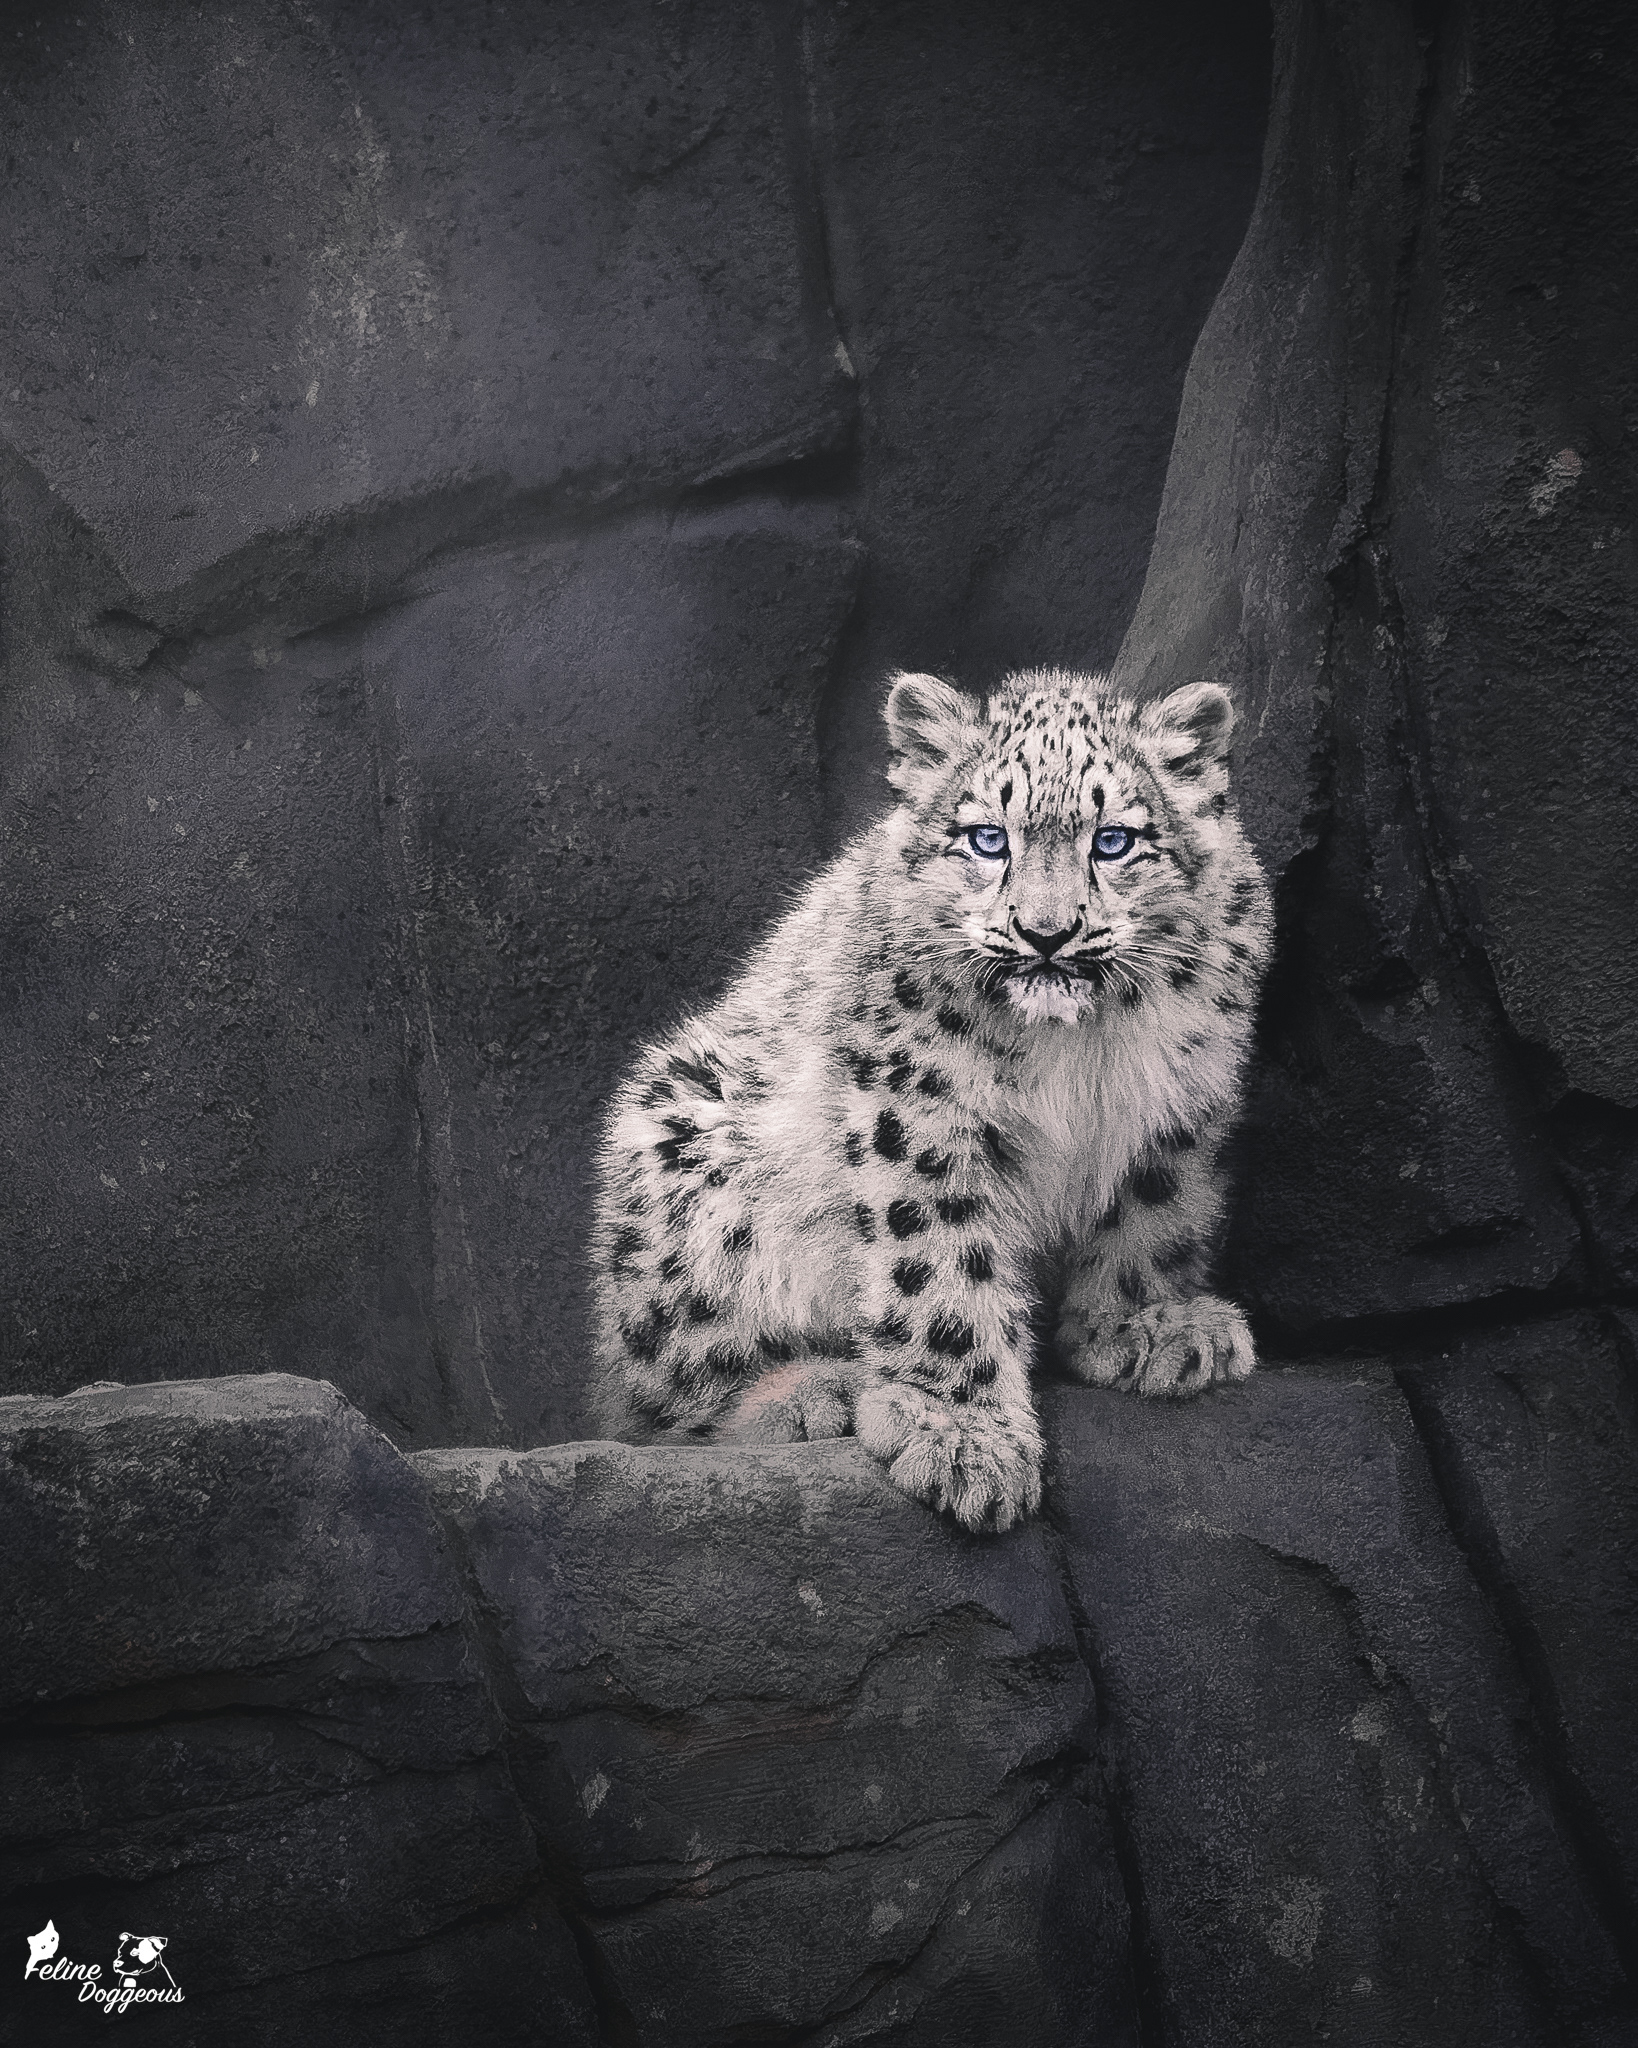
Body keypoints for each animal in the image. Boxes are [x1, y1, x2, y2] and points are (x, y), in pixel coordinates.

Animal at [589, 668, 1273, 1532]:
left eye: (1113, 840)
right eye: (987, 838)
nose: (1046, 933)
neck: (1078, 1049)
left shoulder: (1182, 1097)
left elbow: (1155, 1210)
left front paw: (1146, 1326)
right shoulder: (921, 1104)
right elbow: (940, 1260)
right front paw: (961, 1438)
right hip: (689, 1155)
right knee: (656, 1392)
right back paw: (810, 1392)